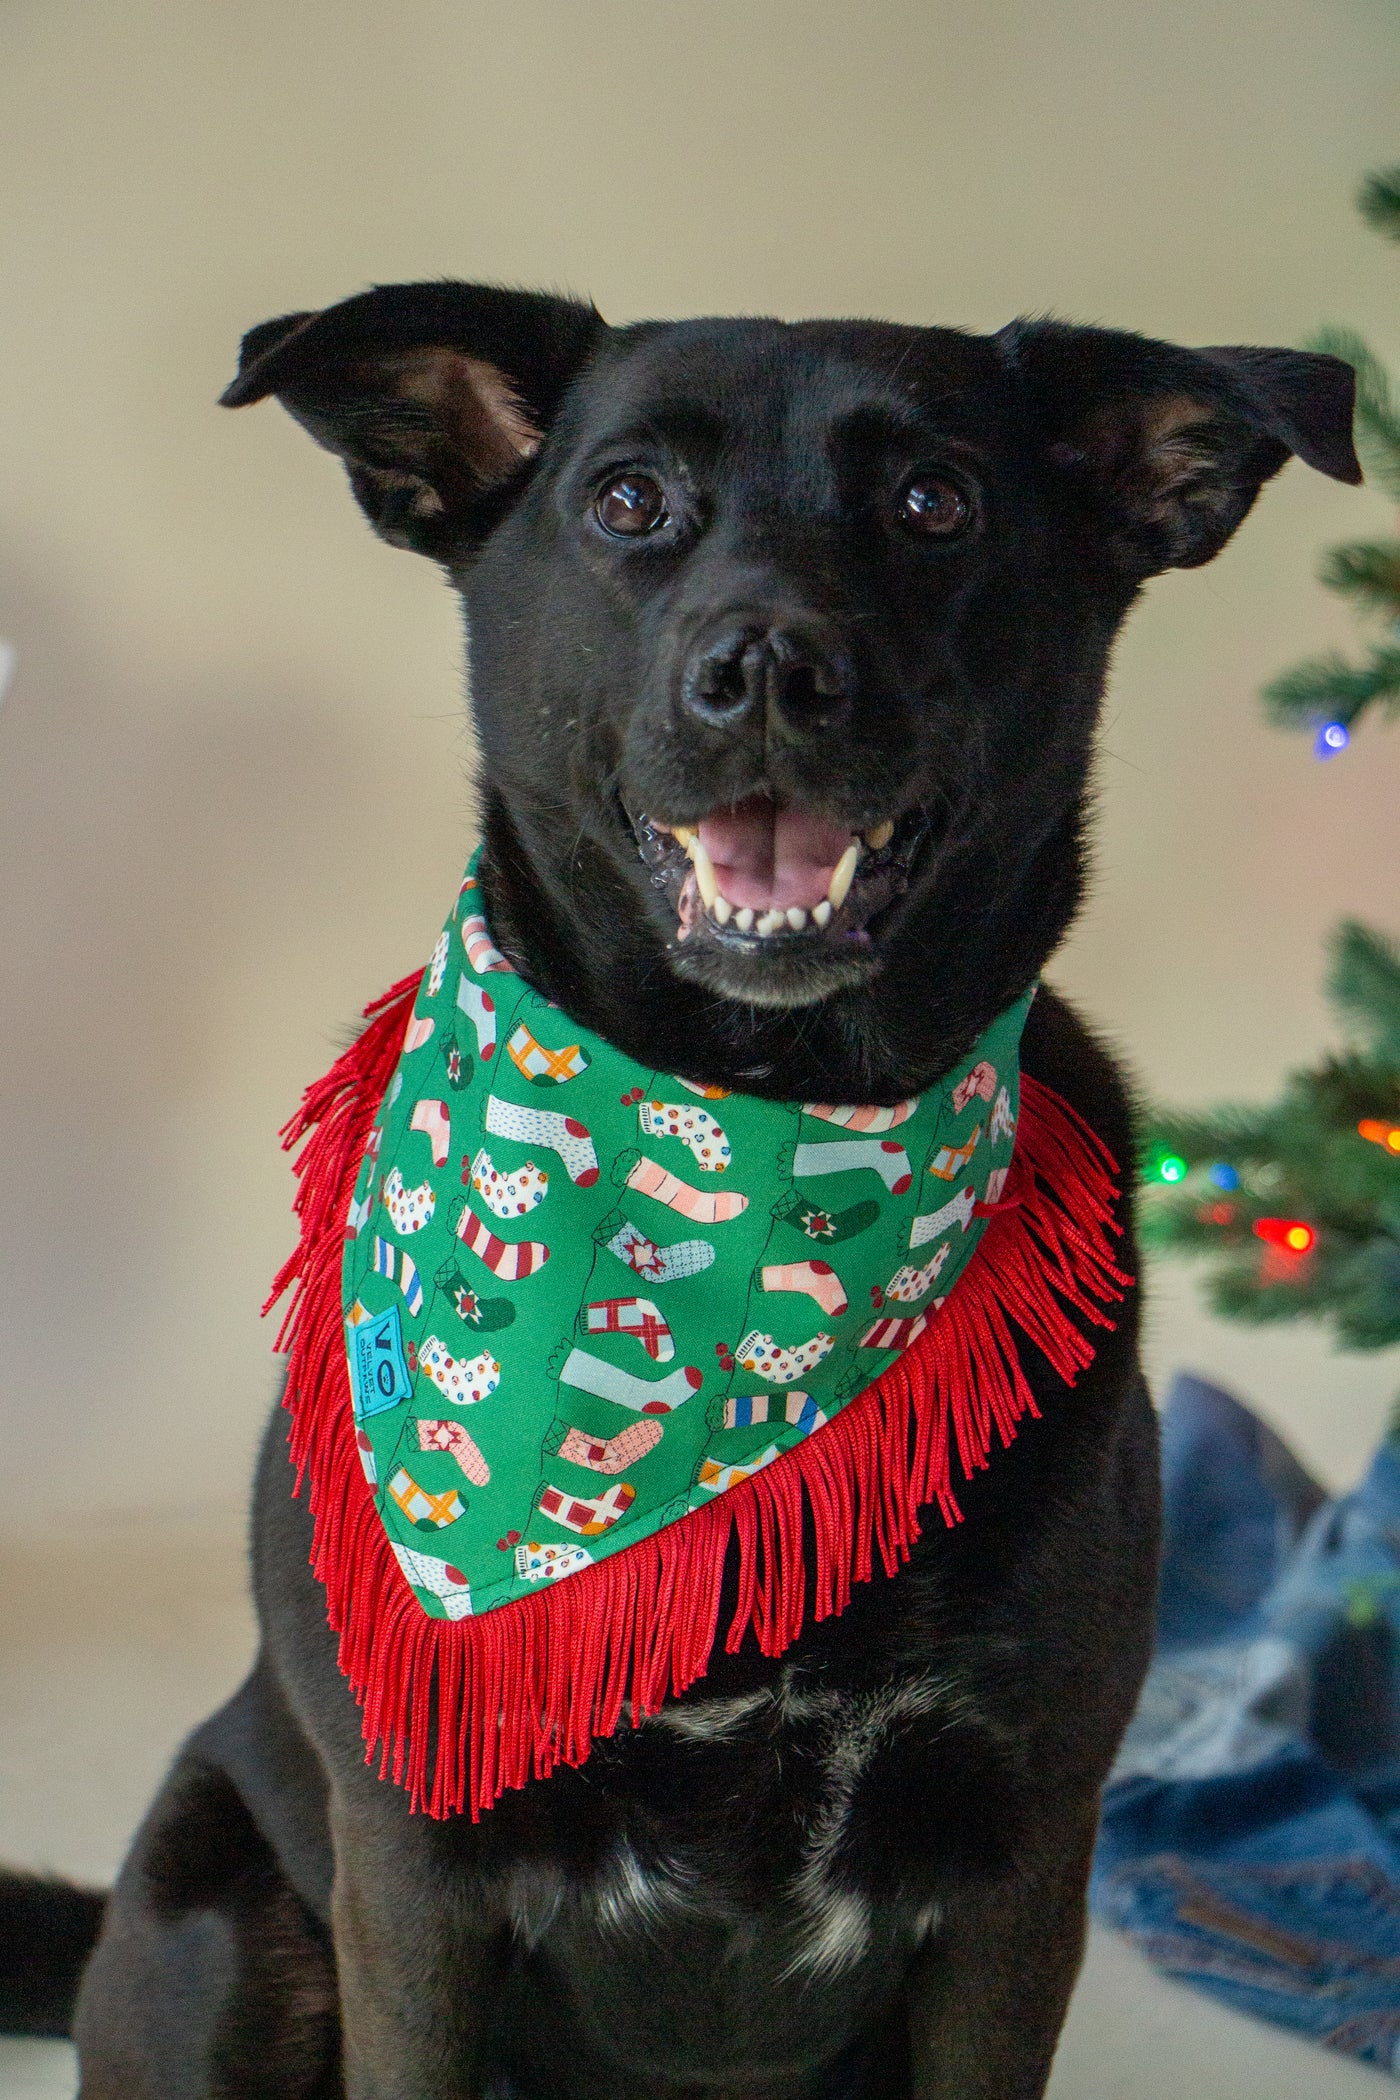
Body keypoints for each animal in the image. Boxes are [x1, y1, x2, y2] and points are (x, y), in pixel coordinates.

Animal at [2, 291, 1360, 2100]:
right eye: (629, 500)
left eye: (937, 501)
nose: (768, 669)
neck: (756, 1139)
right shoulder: (413, 1874)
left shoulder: (1022, 1869)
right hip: (226, 1938)